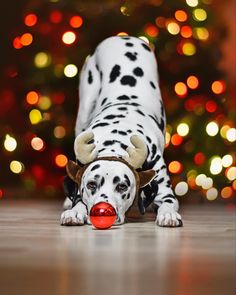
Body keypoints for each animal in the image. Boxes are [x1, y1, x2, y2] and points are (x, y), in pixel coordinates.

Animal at [60, 35, 183, 228]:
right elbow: (78, 199)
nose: (102, 211)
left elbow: (167, 203)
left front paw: (168, 214)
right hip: (83, 112)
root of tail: (122, 37)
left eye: (122, 186)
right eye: (91, 185)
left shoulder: (165, 193)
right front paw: (74, 211)